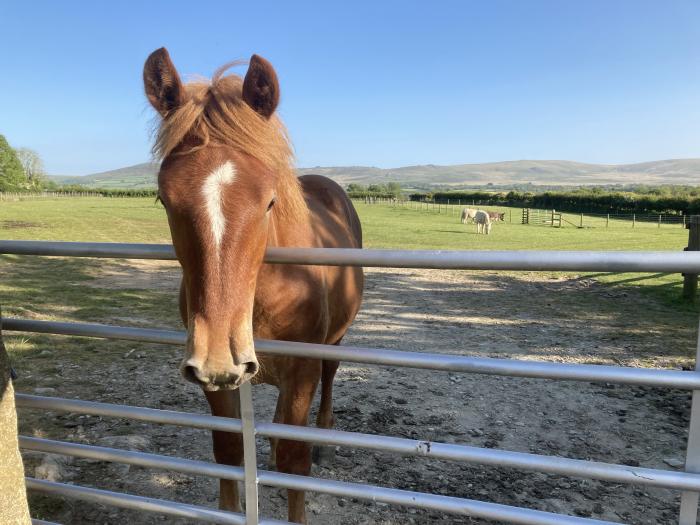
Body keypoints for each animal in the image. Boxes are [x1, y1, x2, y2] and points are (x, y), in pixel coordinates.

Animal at [141, 47, 360, 520]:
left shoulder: (301, 372)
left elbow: (294, 459)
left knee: (331, 375)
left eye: (269, 202)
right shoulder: (213, 376)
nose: (219, 353)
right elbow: (227, 451)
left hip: (334, 341)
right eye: (164, 199)